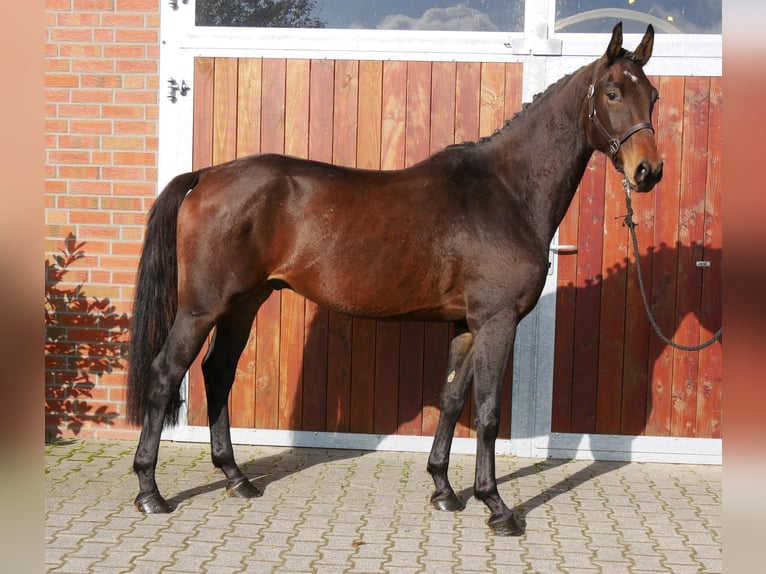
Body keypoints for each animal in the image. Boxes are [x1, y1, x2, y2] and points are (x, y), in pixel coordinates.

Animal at [127, 22, 664, 536]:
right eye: (612, 92)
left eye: (653, 95)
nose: (648, 171)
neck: (506, 193)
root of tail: (207, 174)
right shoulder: (497, 321)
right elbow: (488, 413)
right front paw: (496, 506)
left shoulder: (467, 325)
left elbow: (451, 399)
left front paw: (444, 489)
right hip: (202, 308)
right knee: (165, 374)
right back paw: (151, 492)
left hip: (243, 304)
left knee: (218, 373)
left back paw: (236, 478)